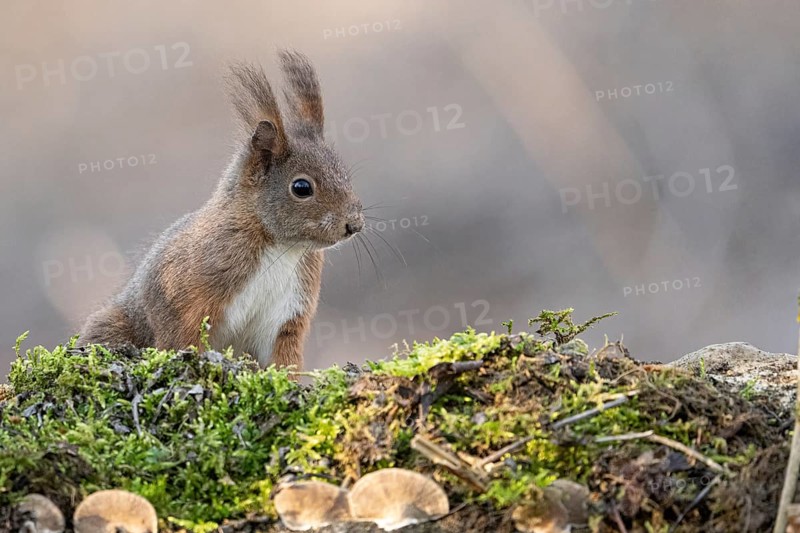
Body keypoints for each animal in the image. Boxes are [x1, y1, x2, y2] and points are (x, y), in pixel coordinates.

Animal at [79, 50, 364, 371]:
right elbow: (182, 335)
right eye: (302, 187)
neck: (281, 247)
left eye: (343, 171)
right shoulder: (185, 295)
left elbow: (283, 360)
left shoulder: (289, 315)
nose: (354, 224)